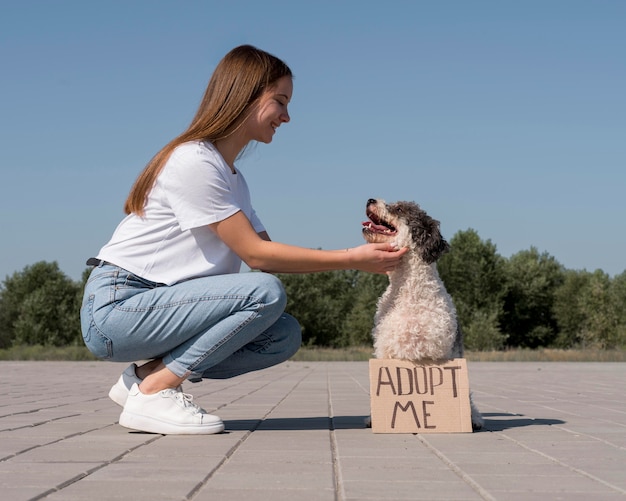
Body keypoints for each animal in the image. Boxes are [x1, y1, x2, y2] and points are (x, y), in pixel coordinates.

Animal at [360, 197, 482, 428]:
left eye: (399, 209)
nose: (370, 199)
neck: (409, 293)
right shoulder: (385, 350)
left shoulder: (440, 352)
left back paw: (475, 418)